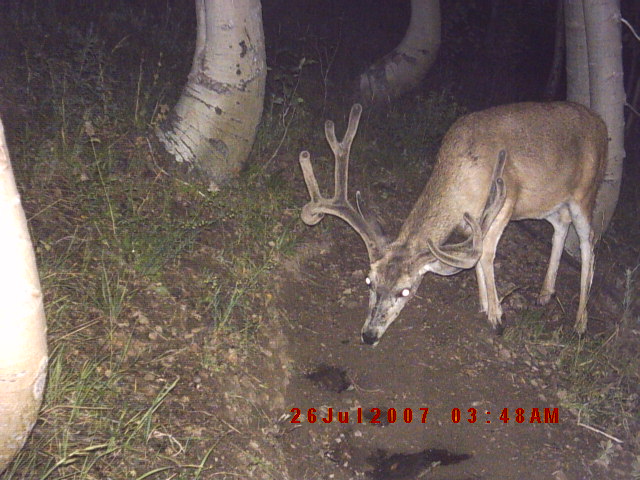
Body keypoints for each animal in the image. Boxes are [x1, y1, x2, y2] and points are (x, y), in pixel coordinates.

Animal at [298, 103, 608, 346]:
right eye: (369, 281)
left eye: (405, 291)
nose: (369, 335)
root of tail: (601, 122)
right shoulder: (475, 221)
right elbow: (475, 256)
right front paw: (485, 303)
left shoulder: (507, 200)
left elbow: (485, 253)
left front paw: (497, 317)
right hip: (548, 202)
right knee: (560, 226)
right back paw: (545, 294)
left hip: (586, 191)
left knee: (588, 242)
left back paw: (580, 324)